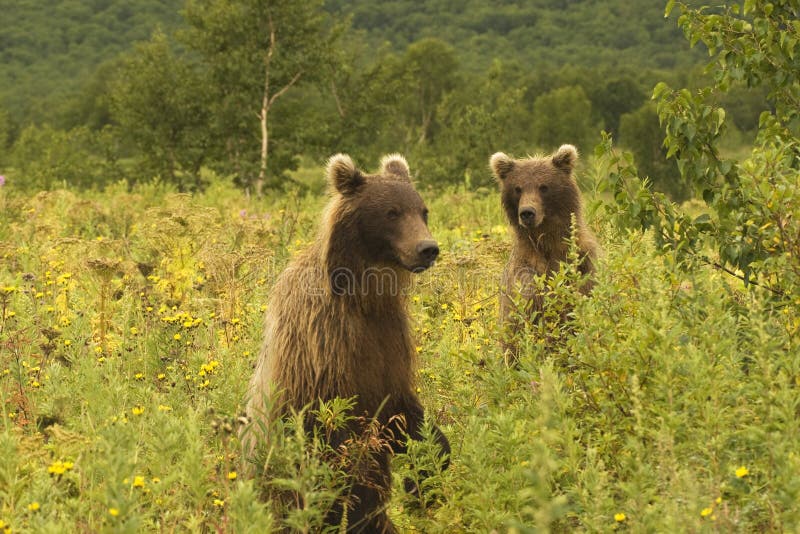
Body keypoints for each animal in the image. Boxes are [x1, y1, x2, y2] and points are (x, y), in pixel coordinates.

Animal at [244, 154, 450, 534]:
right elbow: (340, 444)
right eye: (392, 212)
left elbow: (404, 412)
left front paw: (421, 478)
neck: (362, 298)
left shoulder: (389, 341)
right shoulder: (325, 343)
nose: (428, 249)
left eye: (423, 210)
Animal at [490, 146, 596, 364]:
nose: (527, 213)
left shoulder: (582, 260)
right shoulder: (525, 268)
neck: (548, 242)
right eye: (518, 188)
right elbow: (525, 302)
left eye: (543, 187)